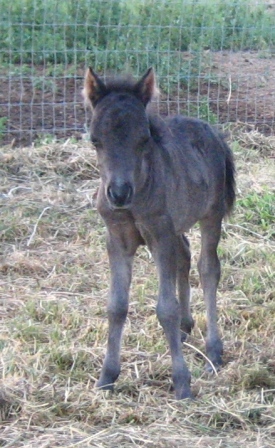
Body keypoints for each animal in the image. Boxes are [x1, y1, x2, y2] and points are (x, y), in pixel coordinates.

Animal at [83, 67, 236, 400]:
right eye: (95, 140)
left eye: (144, 139)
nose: (118, 193)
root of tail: (213, 132)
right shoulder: (117, 238)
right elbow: (116, 306)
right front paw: (107, 377)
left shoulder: (160, 235)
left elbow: (166, 308)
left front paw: (182, 382)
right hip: (176, 224)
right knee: (185, 255)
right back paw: (185, 327)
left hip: (211, 214)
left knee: (208, 268)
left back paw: (213, 351)